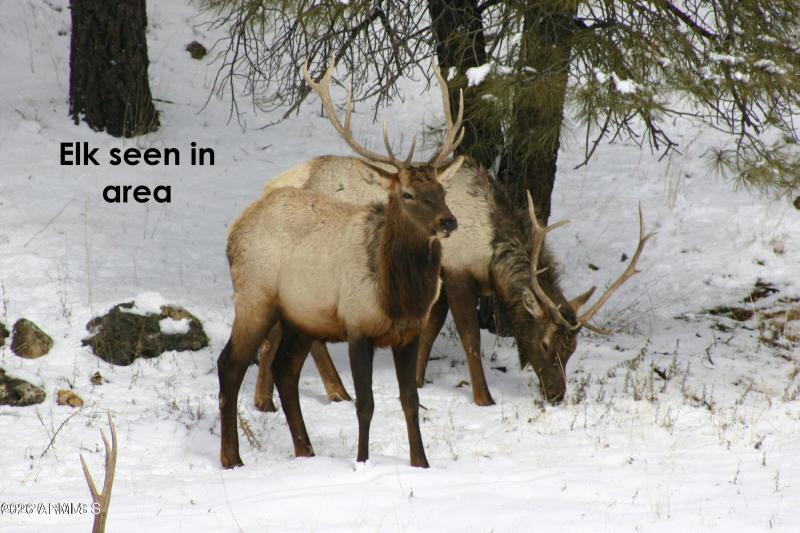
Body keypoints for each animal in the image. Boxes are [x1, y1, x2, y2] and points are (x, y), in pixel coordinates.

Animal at [217, 58, 465, 469]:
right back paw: (231, 457)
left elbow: (410, 401)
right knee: (230, 365)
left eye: (442, 189)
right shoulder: (357, 326)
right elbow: (366, 404)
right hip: (255, 296)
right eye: (407, 194)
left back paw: (305, 450)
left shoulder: (409, 333)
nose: (449, 221)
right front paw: (362, 461)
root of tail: (236, 227)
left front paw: (421, 463)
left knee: (285, 372)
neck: (396, 297)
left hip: (301, 317)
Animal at [252, 81, 653, 407]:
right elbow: (469, 336)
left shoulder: (440, 281)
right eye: (545, 344)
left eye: (573, 349)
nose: (557, 395)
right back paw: (331, 392)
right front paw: (483, 398)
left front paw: (417, 380)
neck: (490, 254)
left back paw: (271, 397)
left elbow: (430, 330)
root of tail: (272, 186)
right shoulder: (458, 273)